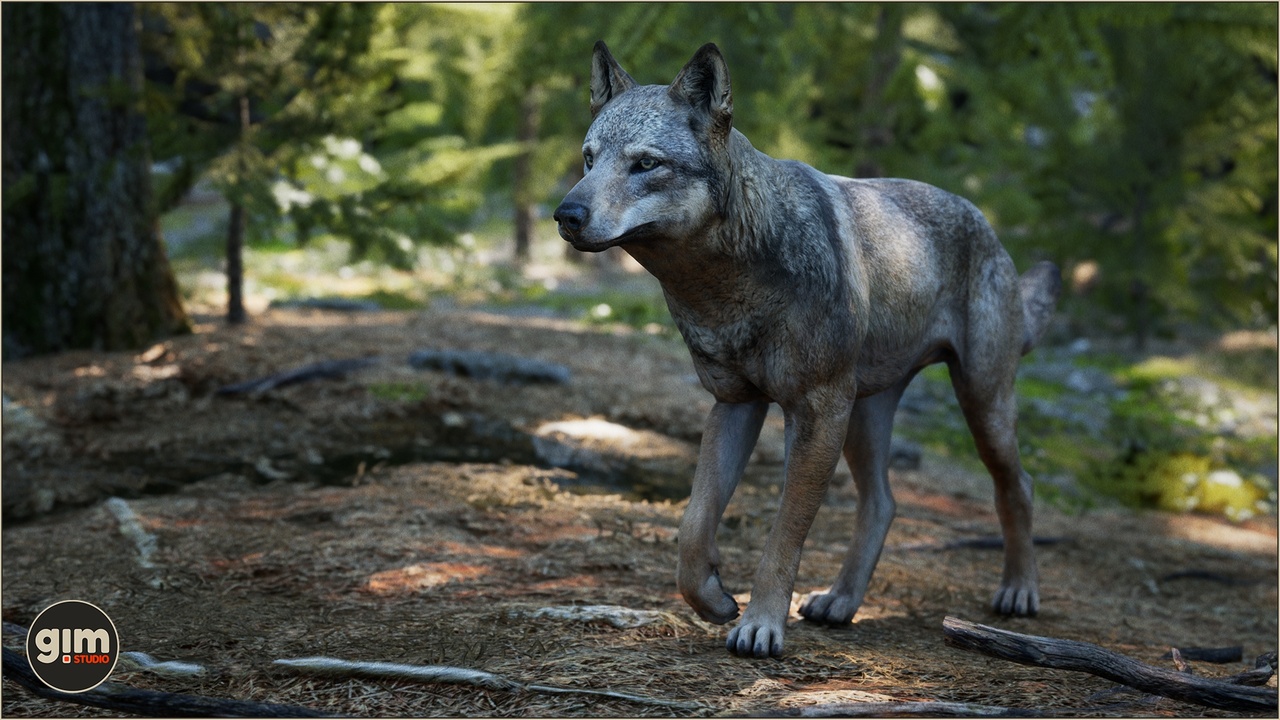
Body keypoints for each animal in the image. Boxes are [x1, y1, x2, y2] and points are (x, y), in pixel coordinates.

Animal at [554, 42, 1061, 658]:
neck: (728, 280)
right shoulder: (736, 405)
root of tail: (987, 226)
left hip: (979, 407)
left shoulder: (816, 412)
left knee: (1019, 487)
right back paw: (840, 602)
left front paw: (761, 626)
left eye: (646, 164)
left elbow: (783, 537)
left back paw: (1018, 592)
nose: (565, 215)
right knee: (882, 503)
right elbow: (693, 526)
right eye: (588, 160)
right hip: (865, 416)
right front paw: (715, 600)